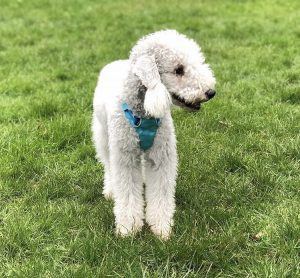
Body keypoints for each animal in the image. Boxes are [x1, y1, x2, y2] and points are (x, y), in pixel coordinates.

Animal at [92, 29, 216, 239]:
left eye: (197, 62)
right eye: (178, 69)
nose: (210, 92)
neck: (143, 115)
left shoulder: (161, 156)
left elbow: (160, 192)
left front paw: (161, 228)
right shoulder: (125, 156)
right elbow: (126, 192)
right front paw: (128, 229)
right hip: (103, 135)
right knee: (108, 165)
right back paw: (110, 190)